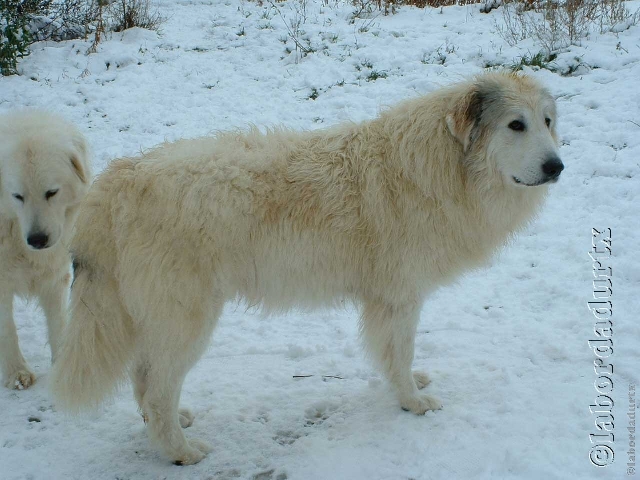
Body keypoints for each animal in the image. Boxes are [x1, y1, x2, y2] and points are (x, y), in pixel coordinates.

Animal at [0, 111, 92, 390]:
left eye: (52, 192)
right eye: (17, 196)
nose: (38, 240)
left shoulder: (54, 275)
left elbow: (57, 322)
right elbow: (7, 329)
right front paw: (16, 372)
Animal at [53, 72, 564, 464]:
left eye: (547, 122)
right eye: (515, 125)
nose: (557, 166)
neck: (442, 168)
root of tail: (116, 183)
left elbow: (399, 356)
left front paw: (412, 385)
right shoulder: (398, 299)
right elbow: (399, 354)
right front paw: (412, 402)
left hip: (158, 319)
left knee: (144, 380)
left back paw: (172, 425)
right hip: (187, 321)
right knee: (158, 389)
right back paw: (180, 451)